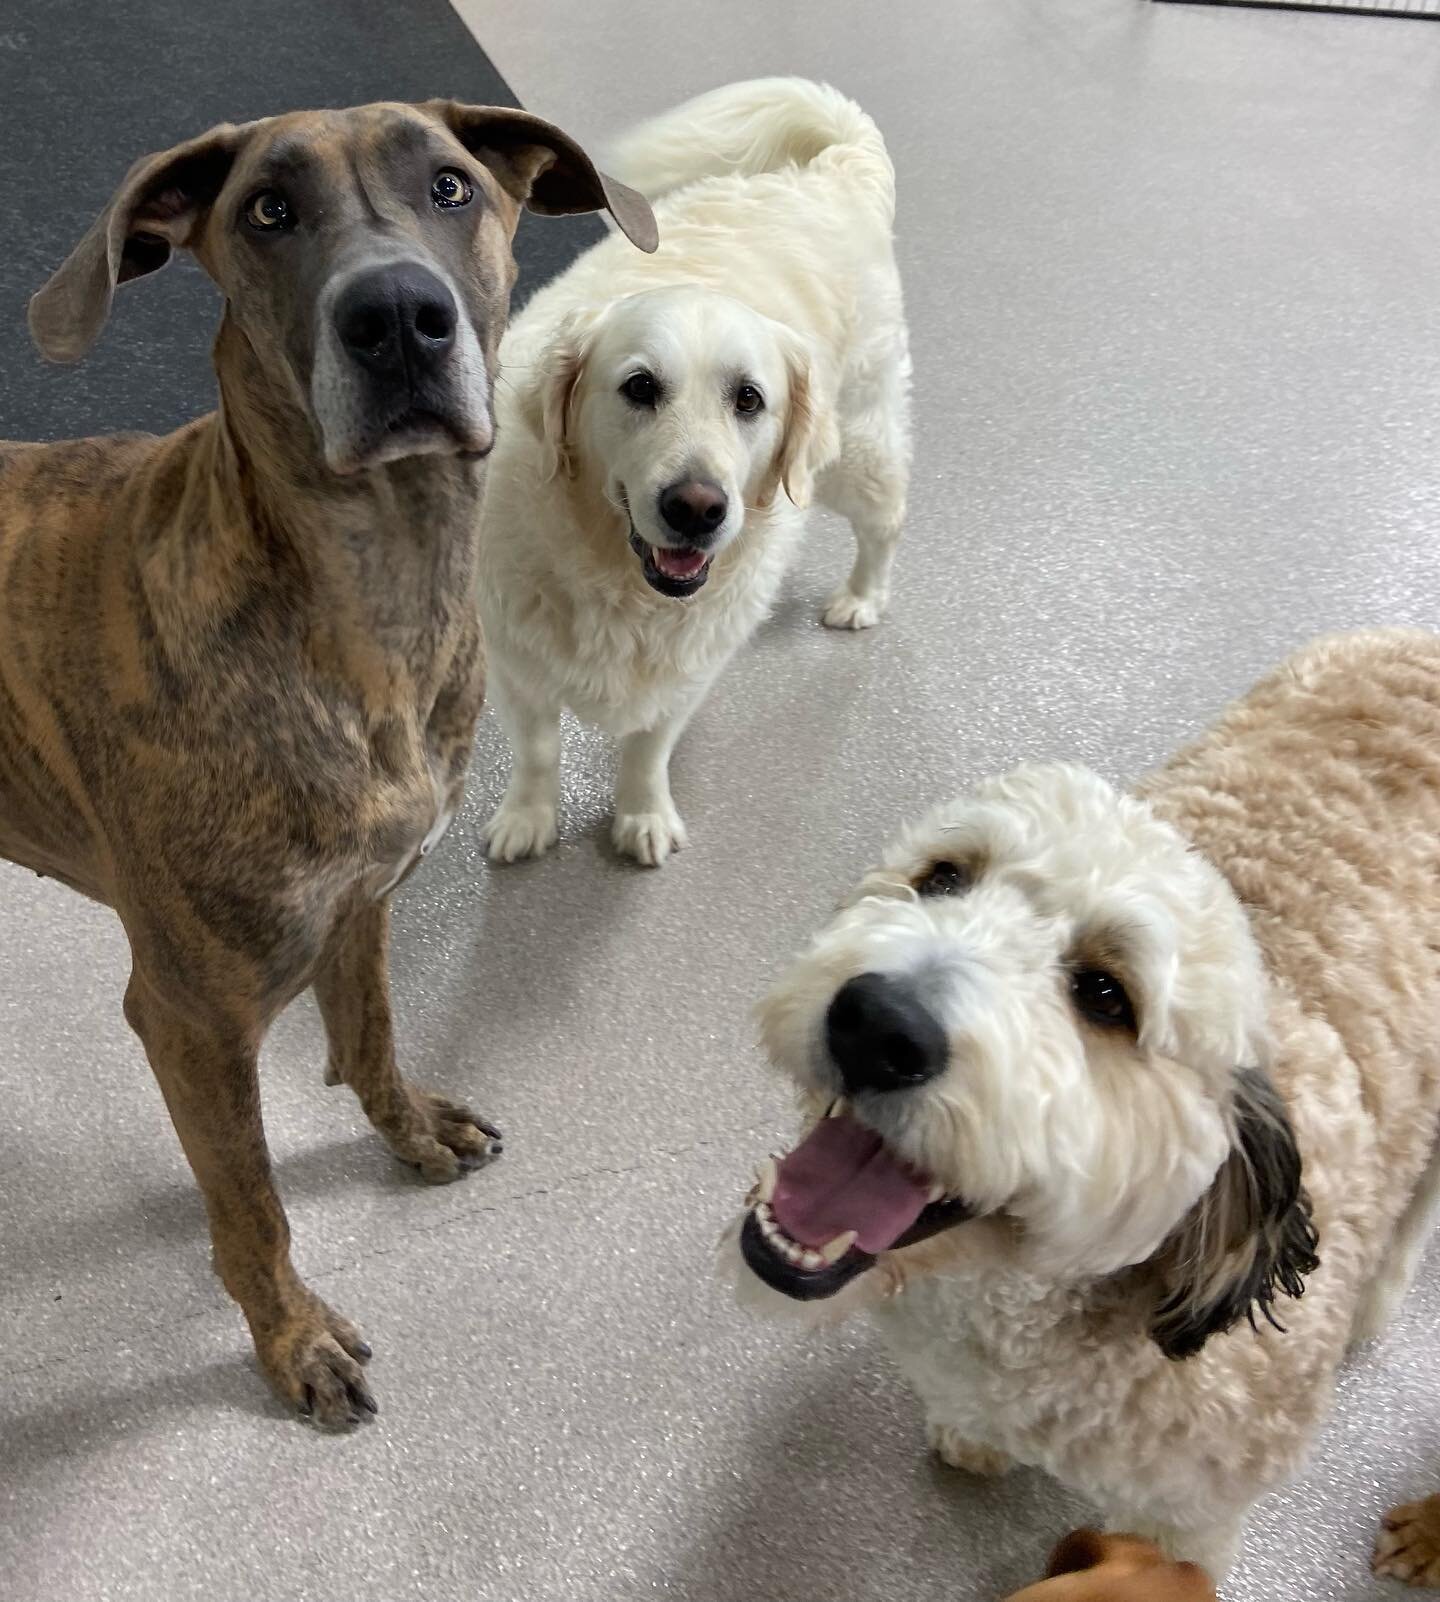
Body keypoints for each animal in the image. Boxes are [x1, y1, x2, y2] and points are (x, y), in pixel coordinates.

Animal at [2, 100, 656, 1428]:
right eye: (267, 209)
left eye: (451, 186)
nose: (397, 315)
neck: (374, 587)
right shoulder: (191, 1020)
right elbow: (252, 1207)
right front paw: (290, 1339)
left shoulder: (364, 899)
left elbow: (372, 1033)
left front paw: (409, 1128)